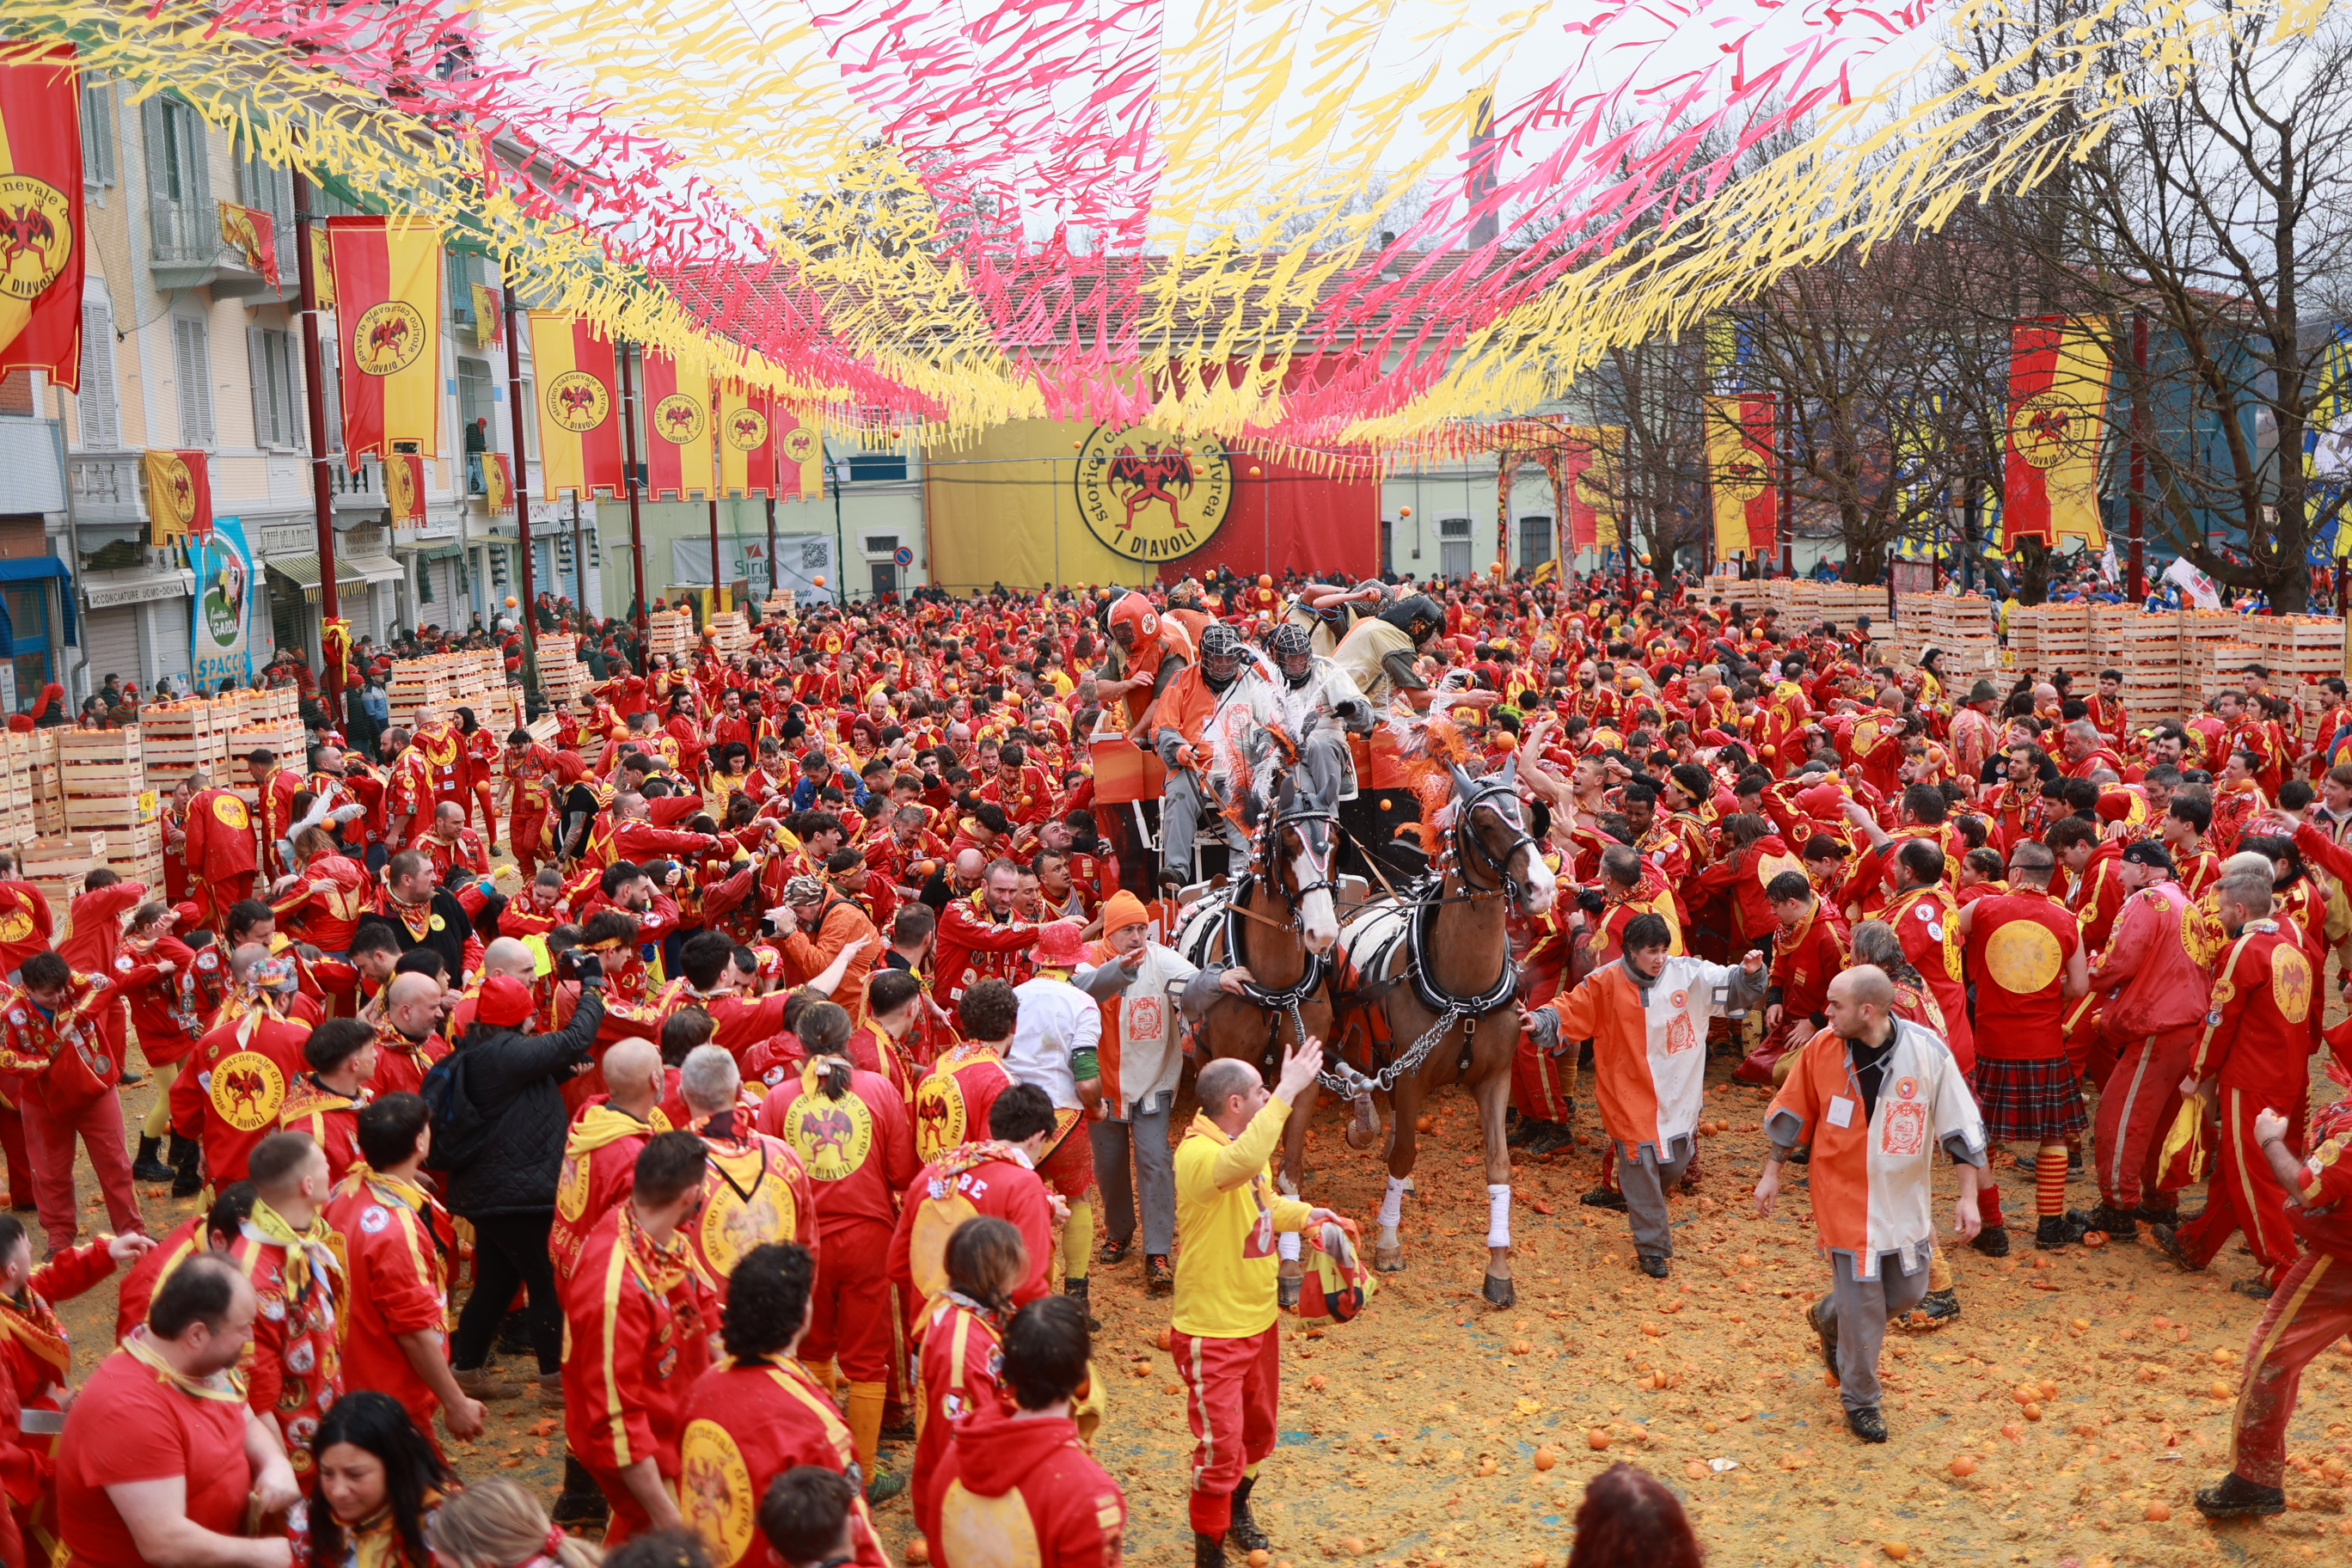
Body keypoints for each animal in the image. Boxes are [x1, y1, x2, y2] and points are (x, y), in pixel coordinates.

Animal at [1330, 757, 1558, 1307]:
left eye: (1529, 815)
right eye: (1486, 823)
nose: (1543, 888)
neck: (1464, 991)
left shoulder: (1495, 1080)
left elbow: (1498, 1166)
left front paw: (1499, 1268)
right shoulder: (1413, 1078)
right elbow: (1405, 1153)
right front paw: (1389, 1243)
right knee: (1356, 1078)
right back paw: (1364, 1127)